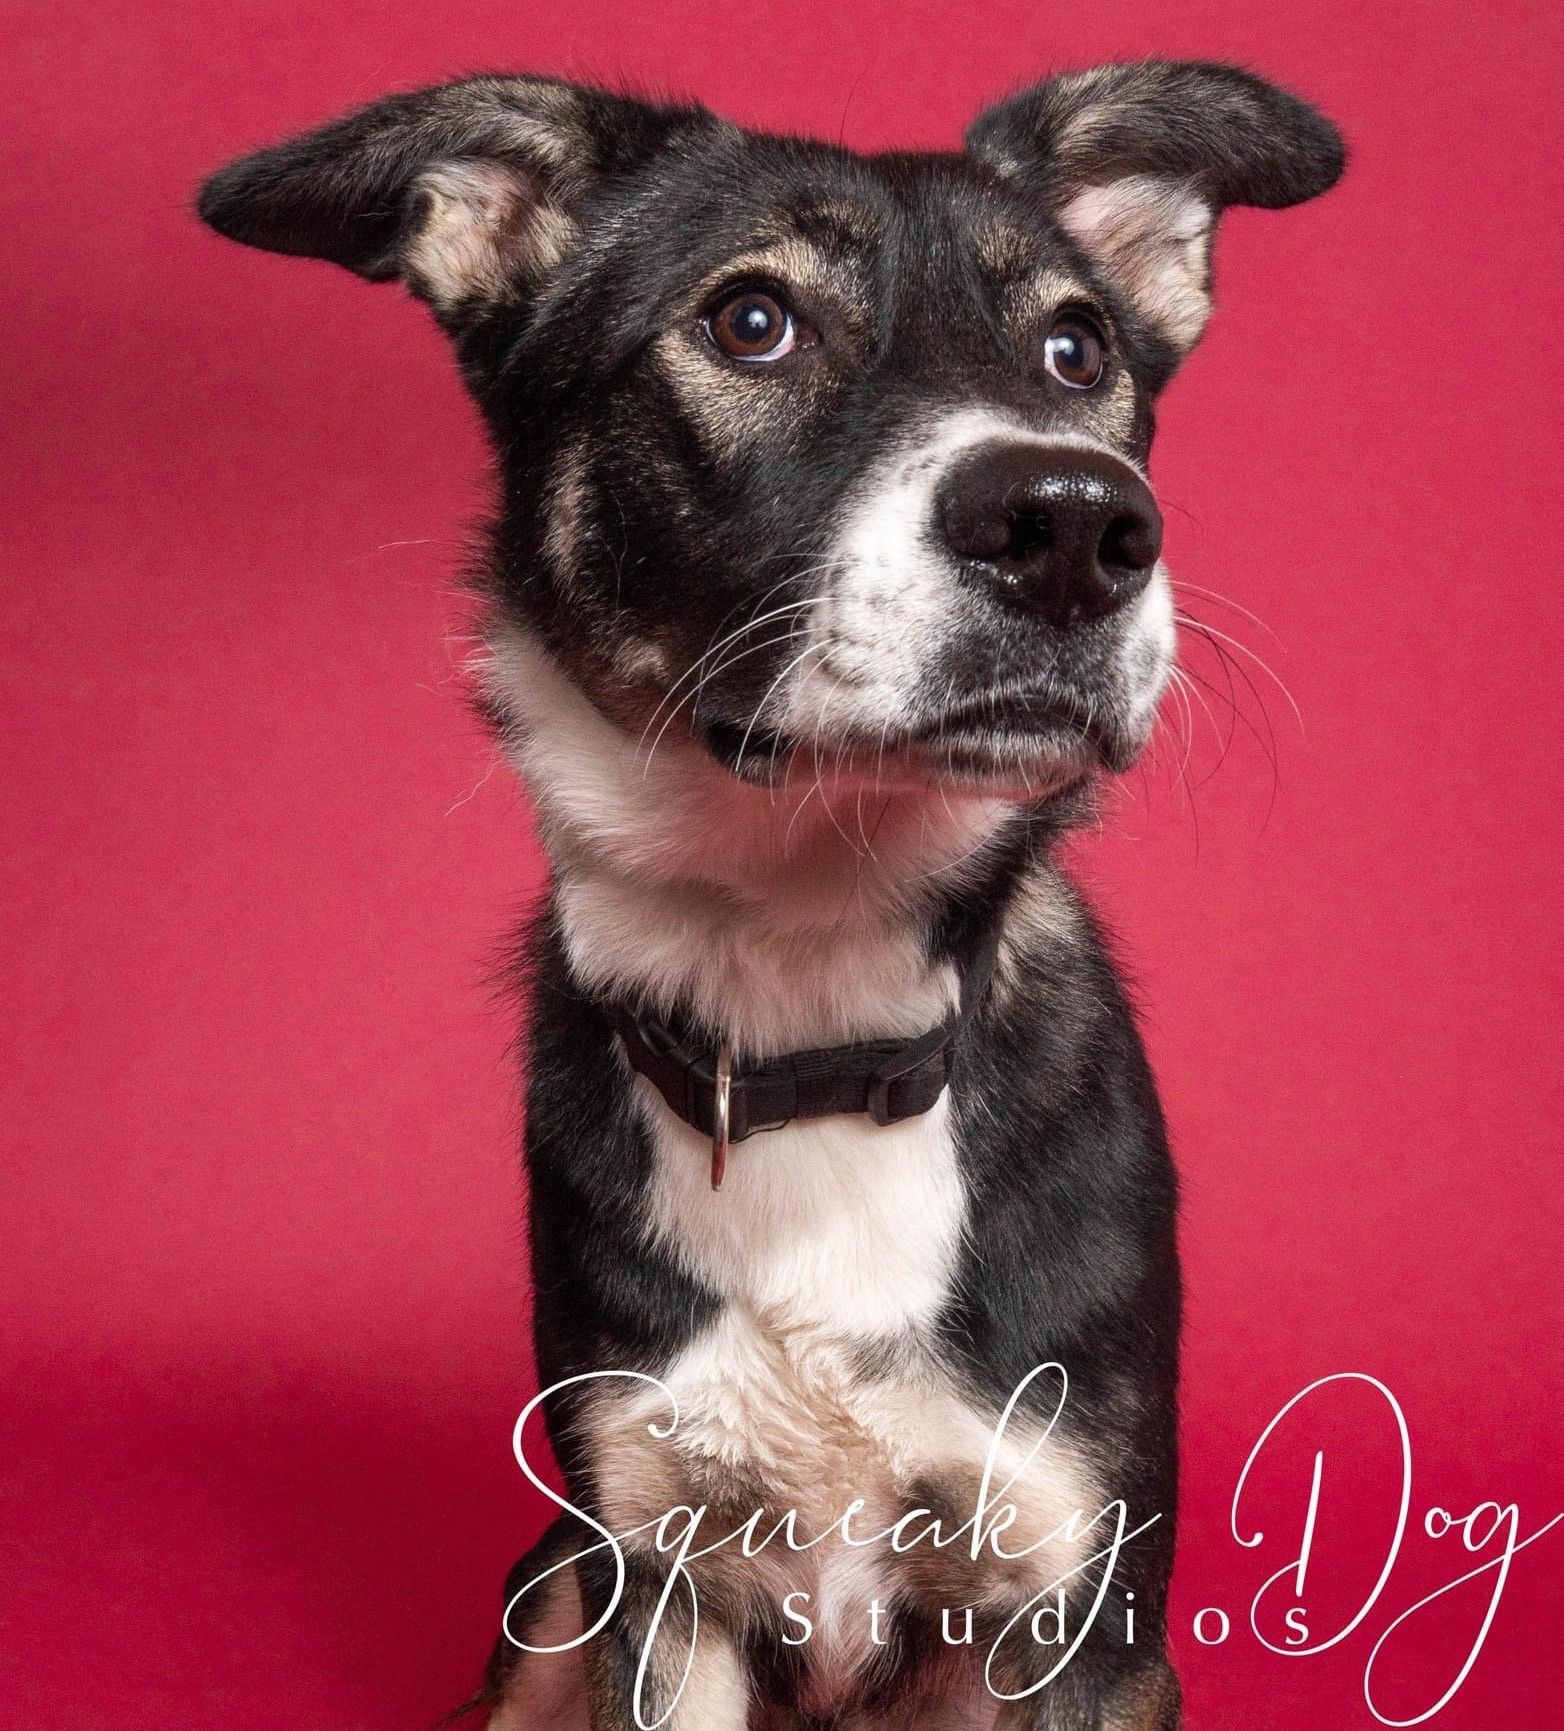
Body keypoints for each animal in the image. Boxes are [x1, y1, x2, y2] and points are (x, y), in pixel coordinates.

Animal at [198, 61, 1342, 1724]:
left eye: (1078, 348)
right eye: (753, 320)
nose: (1077, 524)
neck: (810, 999)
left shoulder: (1082, 1590)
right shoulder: (655, 1572)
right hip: (549, 1589)